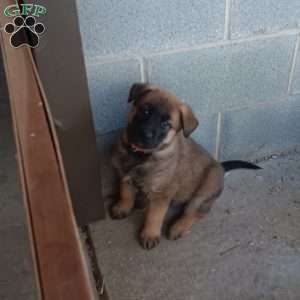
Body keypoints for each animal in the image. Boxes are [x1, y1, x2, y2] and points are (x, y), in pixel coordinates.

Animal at [110, 83, 260, 250]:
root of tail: (220, 167)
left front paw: (150, 234)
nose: (145, 134)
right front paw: (122, 207)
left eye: (166, 125)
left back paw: (178, 227)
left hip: (203, 191)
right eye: (145, 111)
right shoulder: (125, 176)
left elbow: (154, 216)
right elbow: (125, 194)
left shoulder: (162, 194)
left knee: (195, 213)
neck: (141, 155)